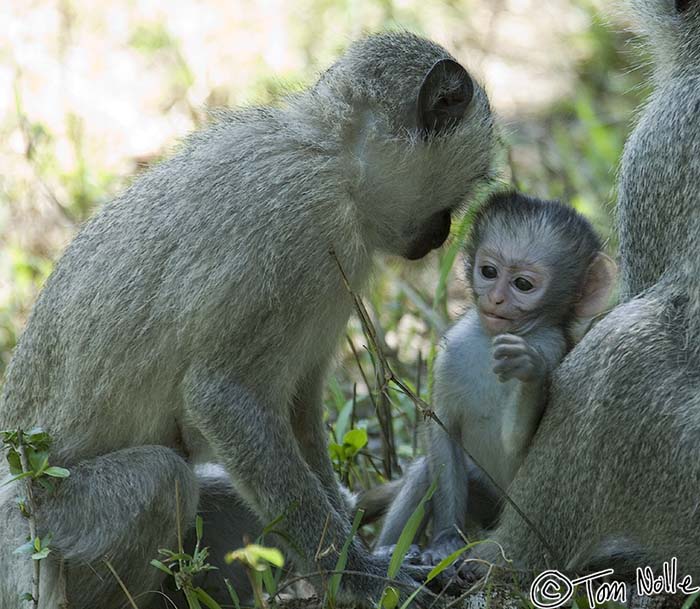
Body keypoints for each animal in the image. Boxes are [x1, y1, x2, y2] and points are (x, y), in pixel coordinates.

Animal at [0, 33, 494, 608]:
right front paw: (364, 576)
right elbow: (223, 398)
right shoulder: (298, 231)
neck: (329, 155)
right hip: (50, 530)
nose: (442, 233)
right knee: (162, 479)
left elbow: (299, 406)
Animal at [374, 191, 616, 564]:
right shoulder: (450, 350)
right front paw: (444, 541)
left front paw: (528, 371)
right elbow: (443, 433)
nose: (496, 298)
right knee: (424, 471)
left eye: (522, 284)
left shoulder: (553, 348)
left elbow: (519, 442)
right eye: (489, 272)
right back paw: (388, 551)